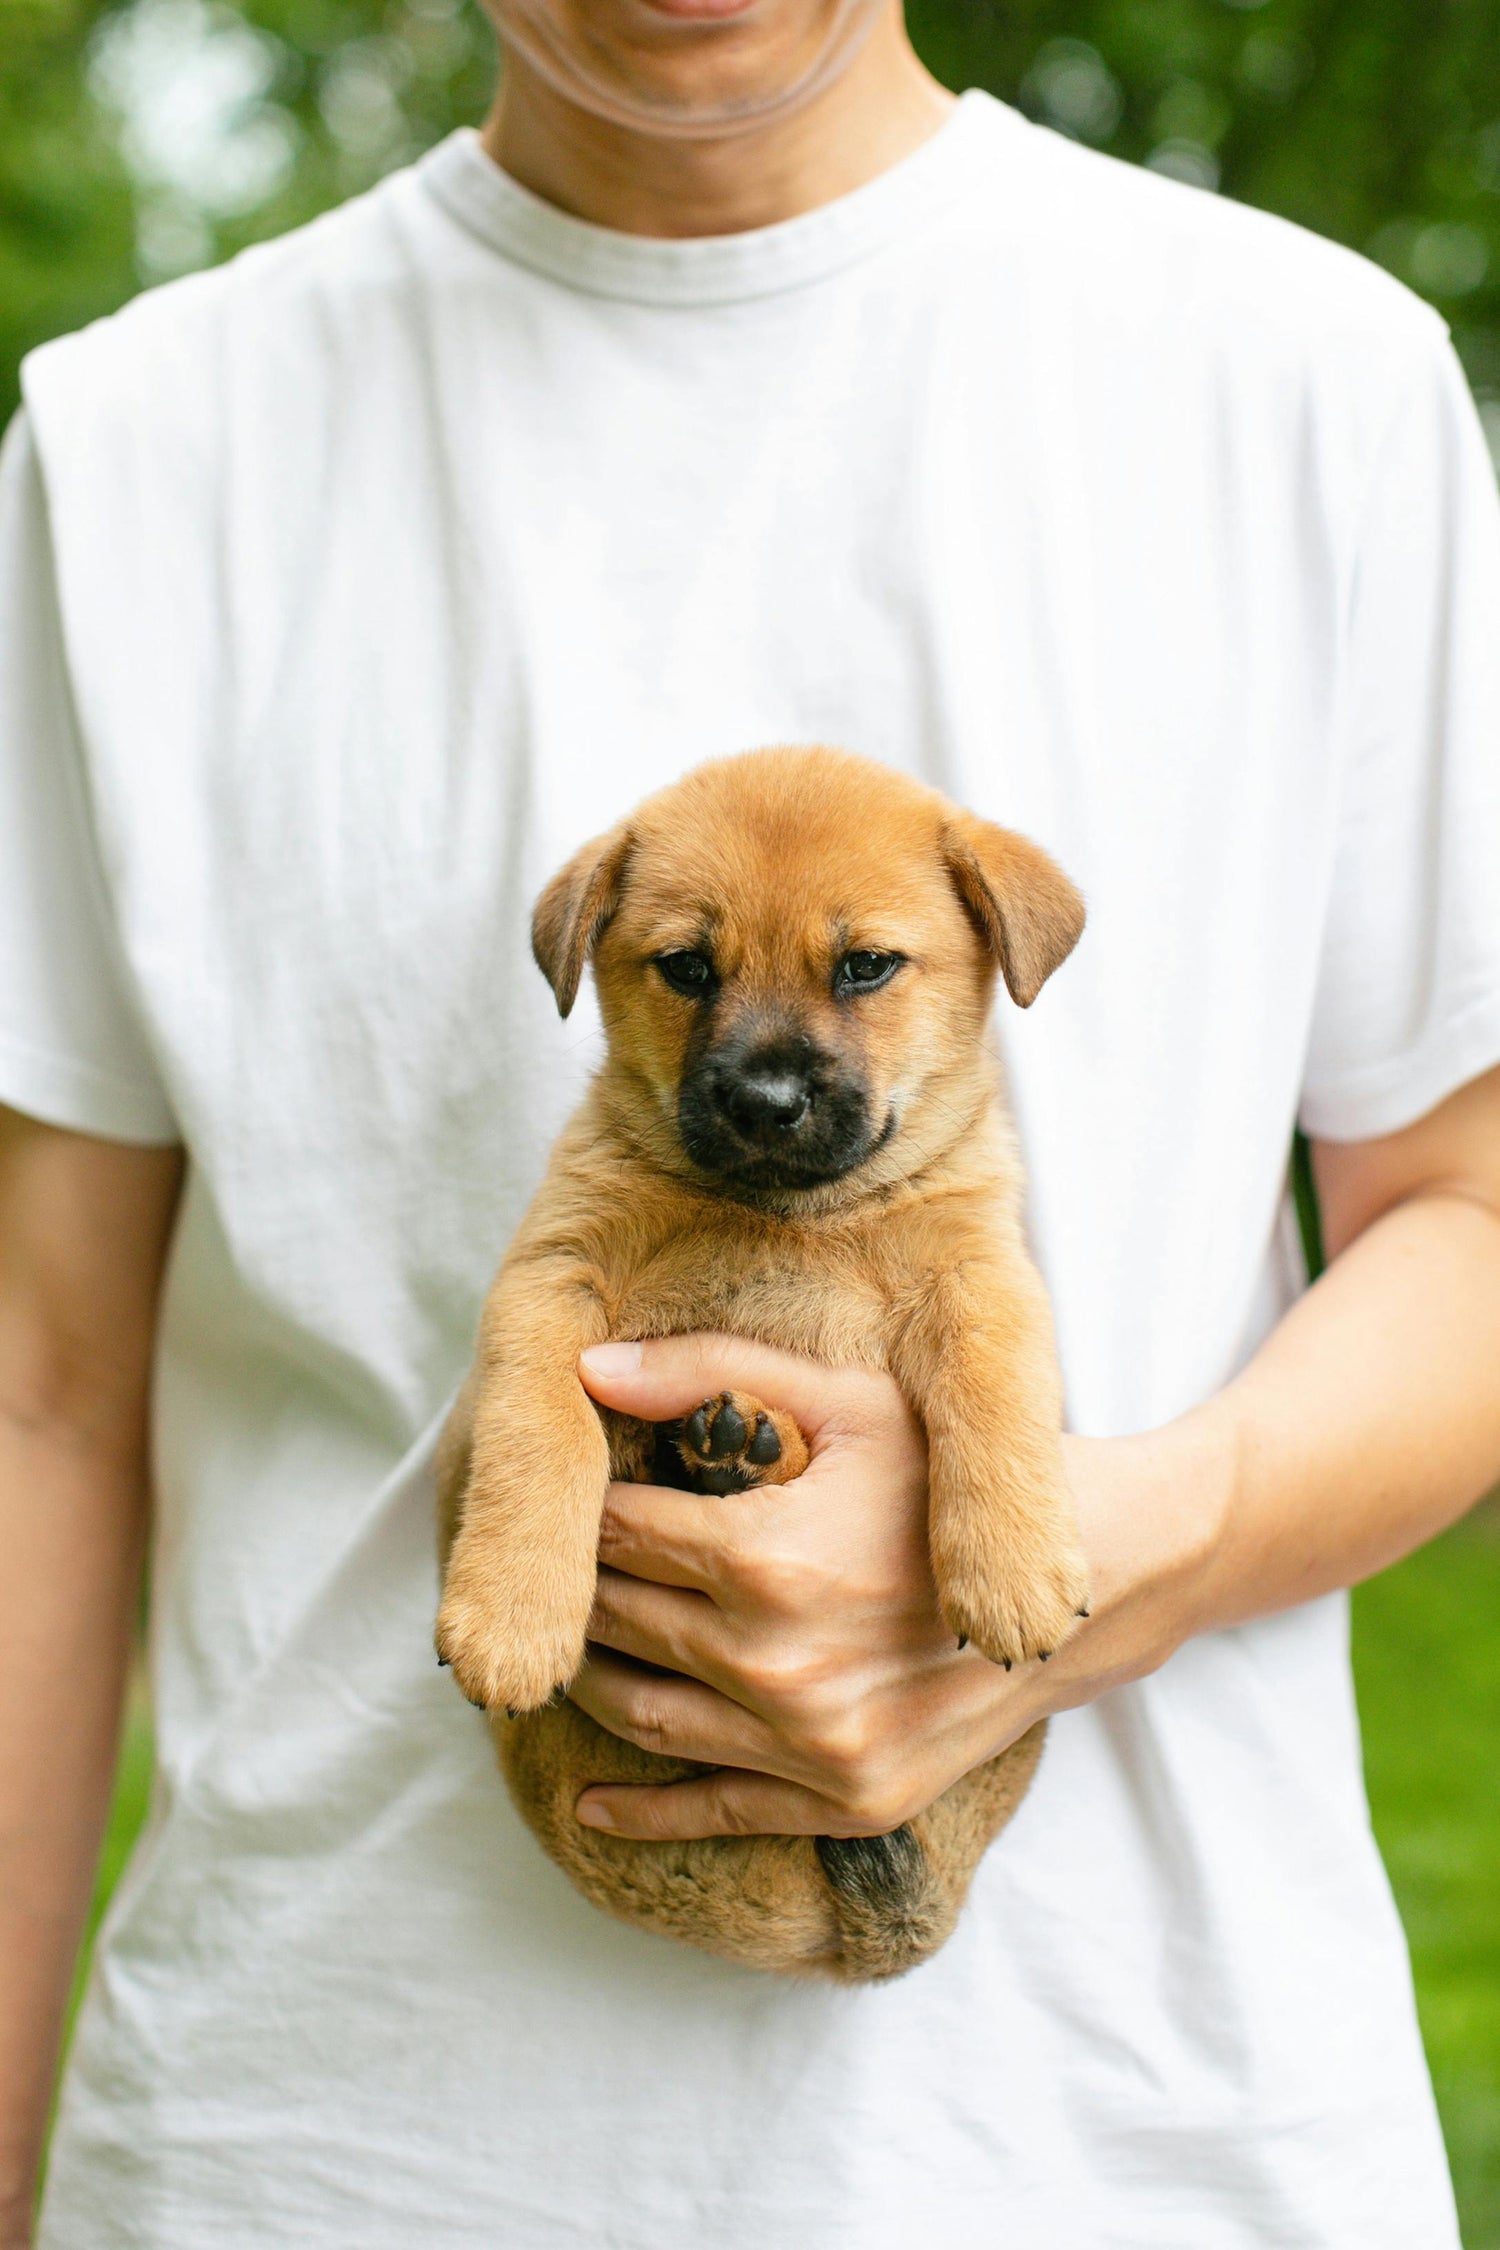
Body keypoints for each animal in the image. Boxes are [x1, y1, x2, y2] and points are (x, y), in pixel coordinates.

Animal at [436, 747, 1092, 1980]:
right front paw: (511, 1615)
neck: (788, 1219)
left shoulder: (981, 1274)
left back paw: (732, 1452)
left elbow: (997, 1394)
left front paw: (1015, 1567)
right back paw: (716, 1454)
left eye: (866, 966)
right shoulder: (550, 1281)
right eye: (688, 969)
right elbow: (539, 1433)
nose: (765, 1101)